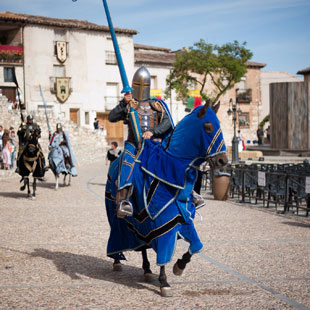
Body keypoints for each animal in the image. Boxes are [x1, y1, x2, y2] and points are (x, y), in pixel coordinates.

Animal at [104, 101, 228, 296]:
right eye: (208, 127)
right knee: (123, 237)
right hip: (116, 216)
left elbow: (196, 246)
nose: (223, 161)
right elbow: (164, 250)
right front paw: (164, 282)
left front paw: (179, 266)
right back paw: (118, 259)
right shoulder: (162, 222)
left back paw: (147, 269)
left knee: (143, 246)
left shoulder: (182, 218)